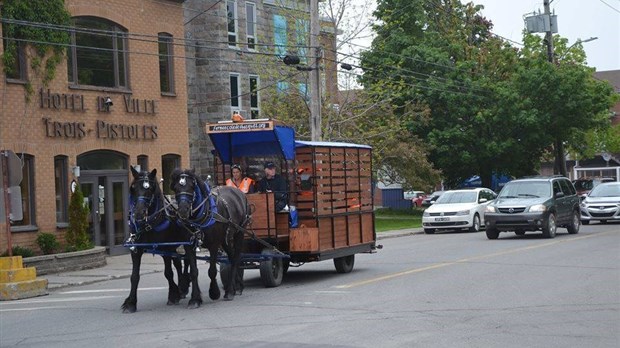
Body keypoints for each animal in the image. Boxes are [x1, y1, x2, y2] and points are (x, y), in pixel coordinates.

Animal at [120, 167, 200, 312]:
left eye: (150, 189)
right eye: (133, 188)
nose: (138, 214)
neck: (149, 223)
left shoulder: (165, 247)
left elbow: (168, 273)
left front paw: (173, 295)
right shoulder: (136, 249)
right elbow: (134, 276)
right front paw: (131, 303)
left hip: (184, 242)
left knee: (186, 261)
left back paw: (184, 287)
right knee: (179, 262)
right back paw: (182, 288)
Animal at [170, 168, 249, 302]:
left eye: (192, 186)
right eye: (175, 187)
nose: (183, 211)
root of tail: (239, 193)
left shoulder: (214, 244)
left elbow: (212, 271)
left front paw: (214, 292)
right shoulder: (189, 245)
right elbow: (194, 271)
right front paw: (195, 299)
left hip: (239, 233)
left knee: (236, 258)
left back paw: (230, 291)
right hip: (225, 239)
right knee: (232, 256)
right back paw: (237, 286)